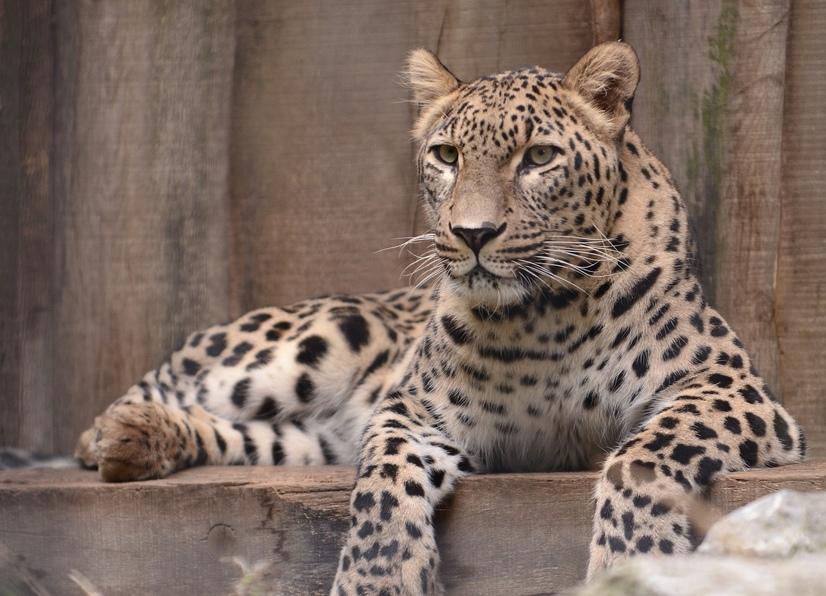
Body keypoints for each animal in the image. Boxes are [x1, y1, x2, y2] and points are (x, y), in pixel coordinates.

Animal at [64, 42, 804, 594]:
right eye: (447, 156)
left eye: (539, 157)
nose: (472, 233)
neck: (546, 316)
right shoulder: (413, 407)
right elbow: (383, 481)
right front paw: (376, 578)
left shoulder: (732, 388)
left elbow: (642, 457)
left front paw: (633, 558)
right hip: (318, 339)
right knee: (163, 387)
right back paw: (116, 432)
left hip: (311, 436)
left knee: (251, 437)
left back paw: (137, 441)